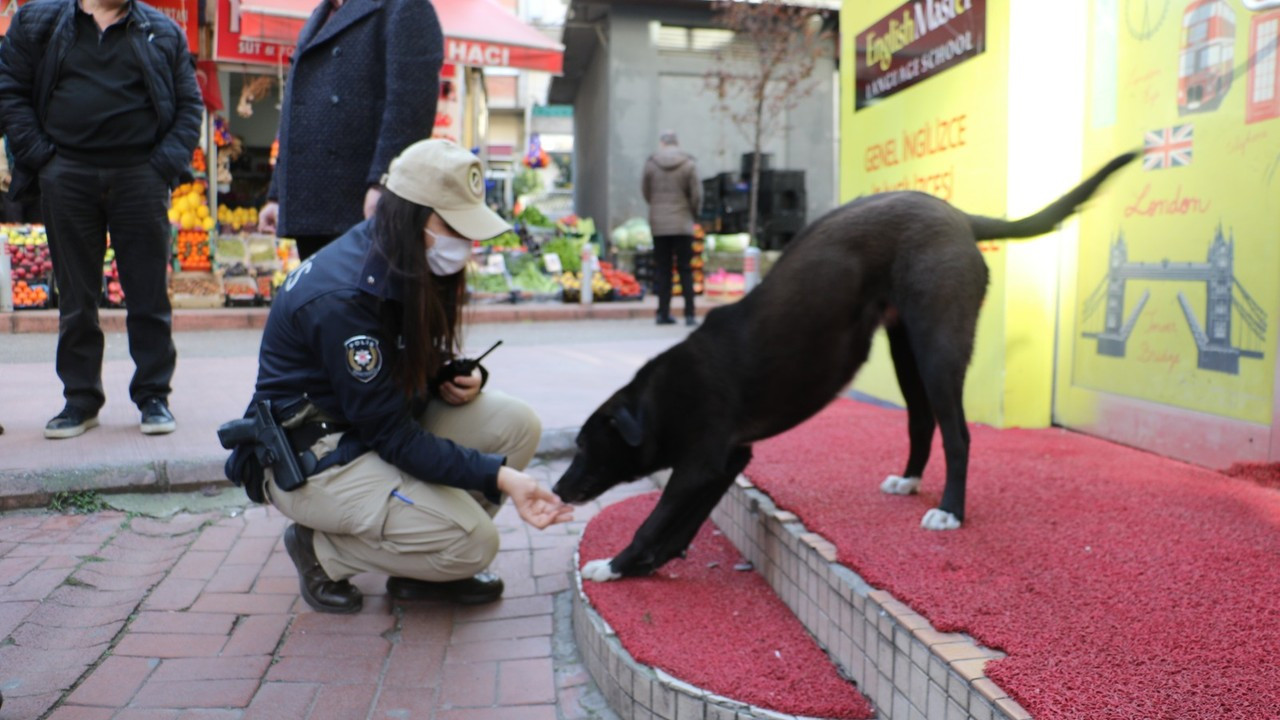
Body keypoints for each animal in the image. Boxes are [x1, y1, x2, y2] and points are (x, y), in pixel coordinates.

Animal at [555, 154, 1136, 579]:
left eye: (584, 446)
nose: (559, 490)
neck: (660, 398)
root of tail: (956, 215)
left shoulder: (699, 462)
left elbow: (655, 521)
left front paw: (616, 565)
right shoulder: (727, 460)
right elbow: (681, 525)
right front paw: (645, 566)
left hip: (938, 344)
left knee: (958, 433)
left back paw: (950, 511)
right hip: (905, 350)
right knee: (921, 420)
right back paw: (909, 480)